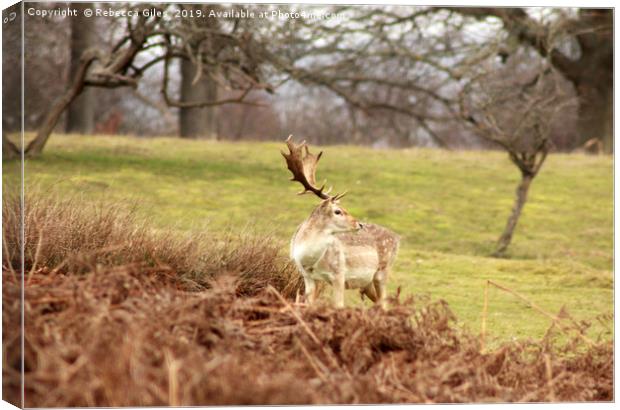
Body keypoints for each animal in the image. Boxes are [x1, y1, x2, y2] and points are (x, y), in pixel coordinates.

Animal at [282, 136, 400, 310]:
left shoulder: (339, 273)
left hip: (382, 271)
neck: (309, 259)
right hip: (367, 283)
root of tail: (397, 238)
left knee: (384, 303)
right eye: (337, 211)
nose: (359, 224)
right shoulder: (307, 277)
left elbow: (338, 305)